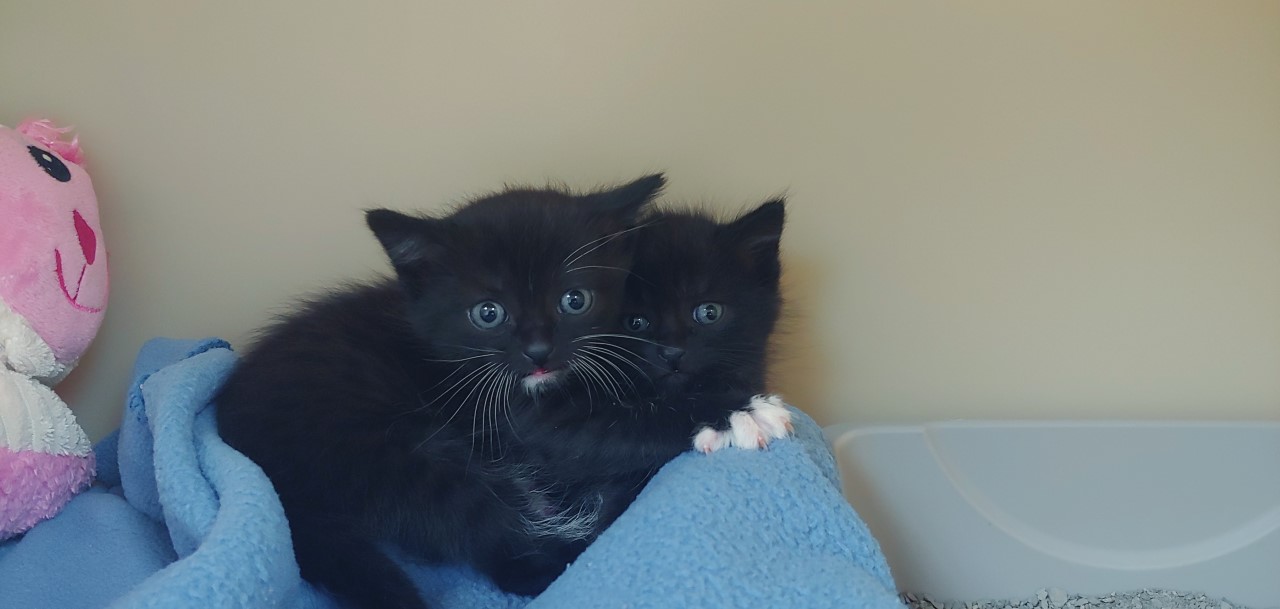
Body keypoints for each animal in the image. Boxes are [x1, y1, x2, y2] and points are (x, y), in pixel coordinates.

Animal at [211, 174, 665, 606]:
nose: (539, 352)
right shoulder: (510, 421)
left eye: (575, 300)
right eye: (488, 313)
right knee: (506, 556)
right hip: (392, 456)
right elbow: (611, 439)